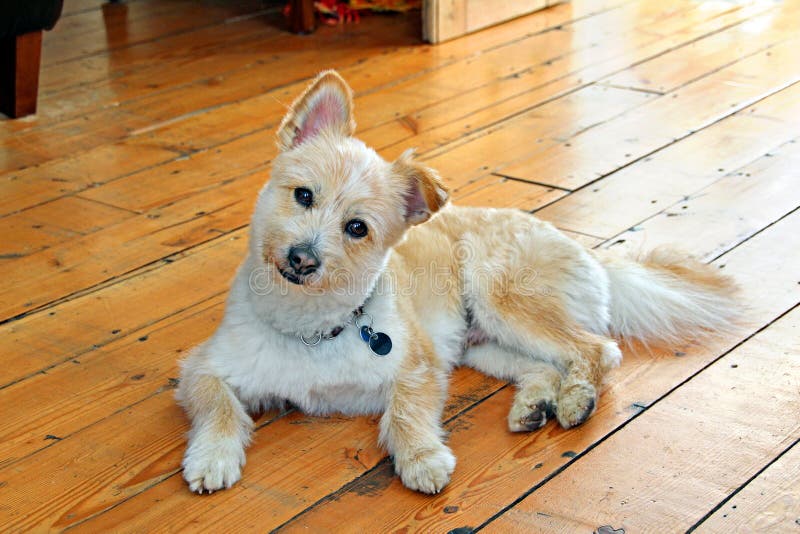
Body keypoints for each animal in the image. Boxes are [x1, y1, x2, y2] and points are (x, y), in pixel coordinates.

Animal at [178, 69, 740, 496]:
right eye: (302, 195)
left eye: (357, 228)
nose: (301, 258)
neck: (311, 329)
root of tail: (589, 254)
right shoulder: (202, 368)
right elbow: (218, 406)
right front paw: (212, 457)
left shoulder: (419, 367)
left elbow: (405, 412)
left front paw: (422, 458)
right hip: (484, 345)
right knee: (544, 366)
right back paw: (534, 405)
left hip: (504, 300)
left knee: (597, 350)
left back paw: (576, 400)